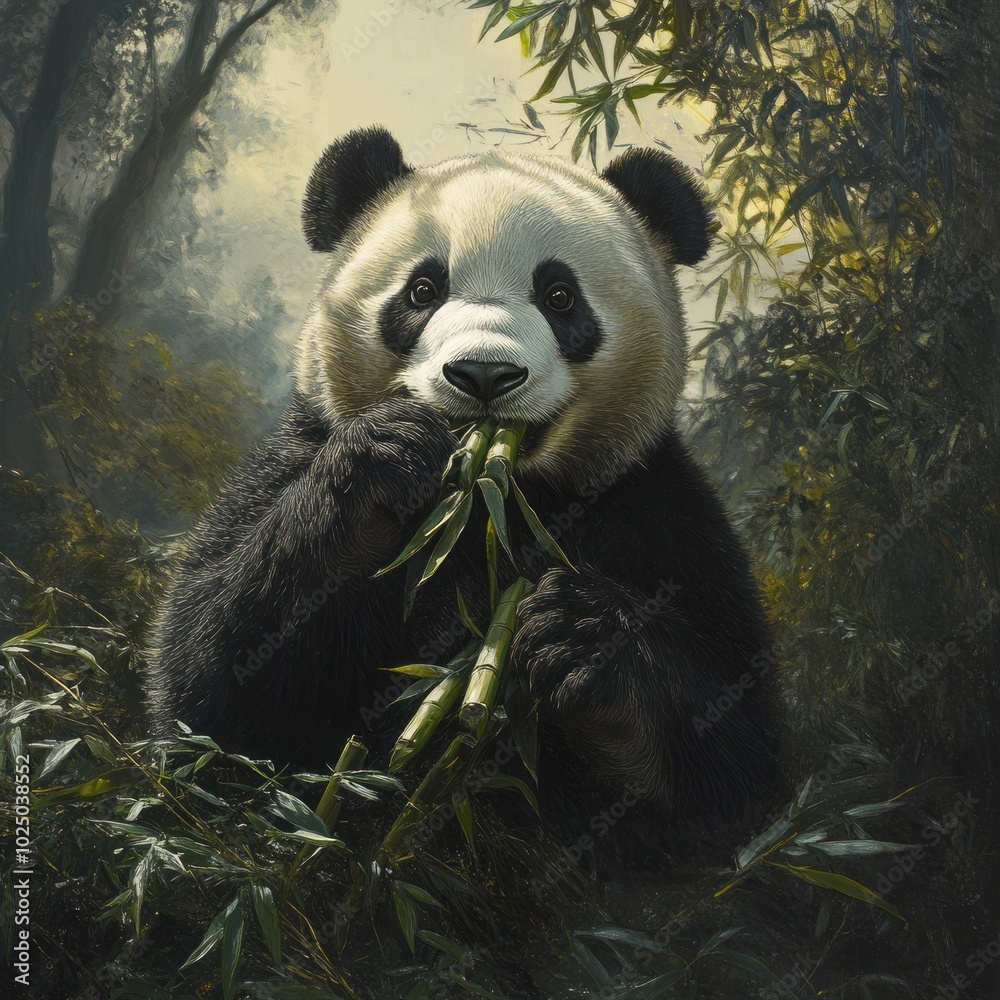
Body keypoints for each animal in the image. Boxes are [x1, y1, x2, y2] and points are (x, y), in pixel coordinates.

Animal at [148, 126, 783, 871]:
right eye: (422, 290)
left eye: (560, 296)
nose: (484, 374)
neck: (495, 502)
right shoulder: (292, 454)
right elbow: (213, 698)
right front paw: (380, 466)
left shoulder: (651, 506)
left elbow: (737, 765)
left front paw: (582, 632)